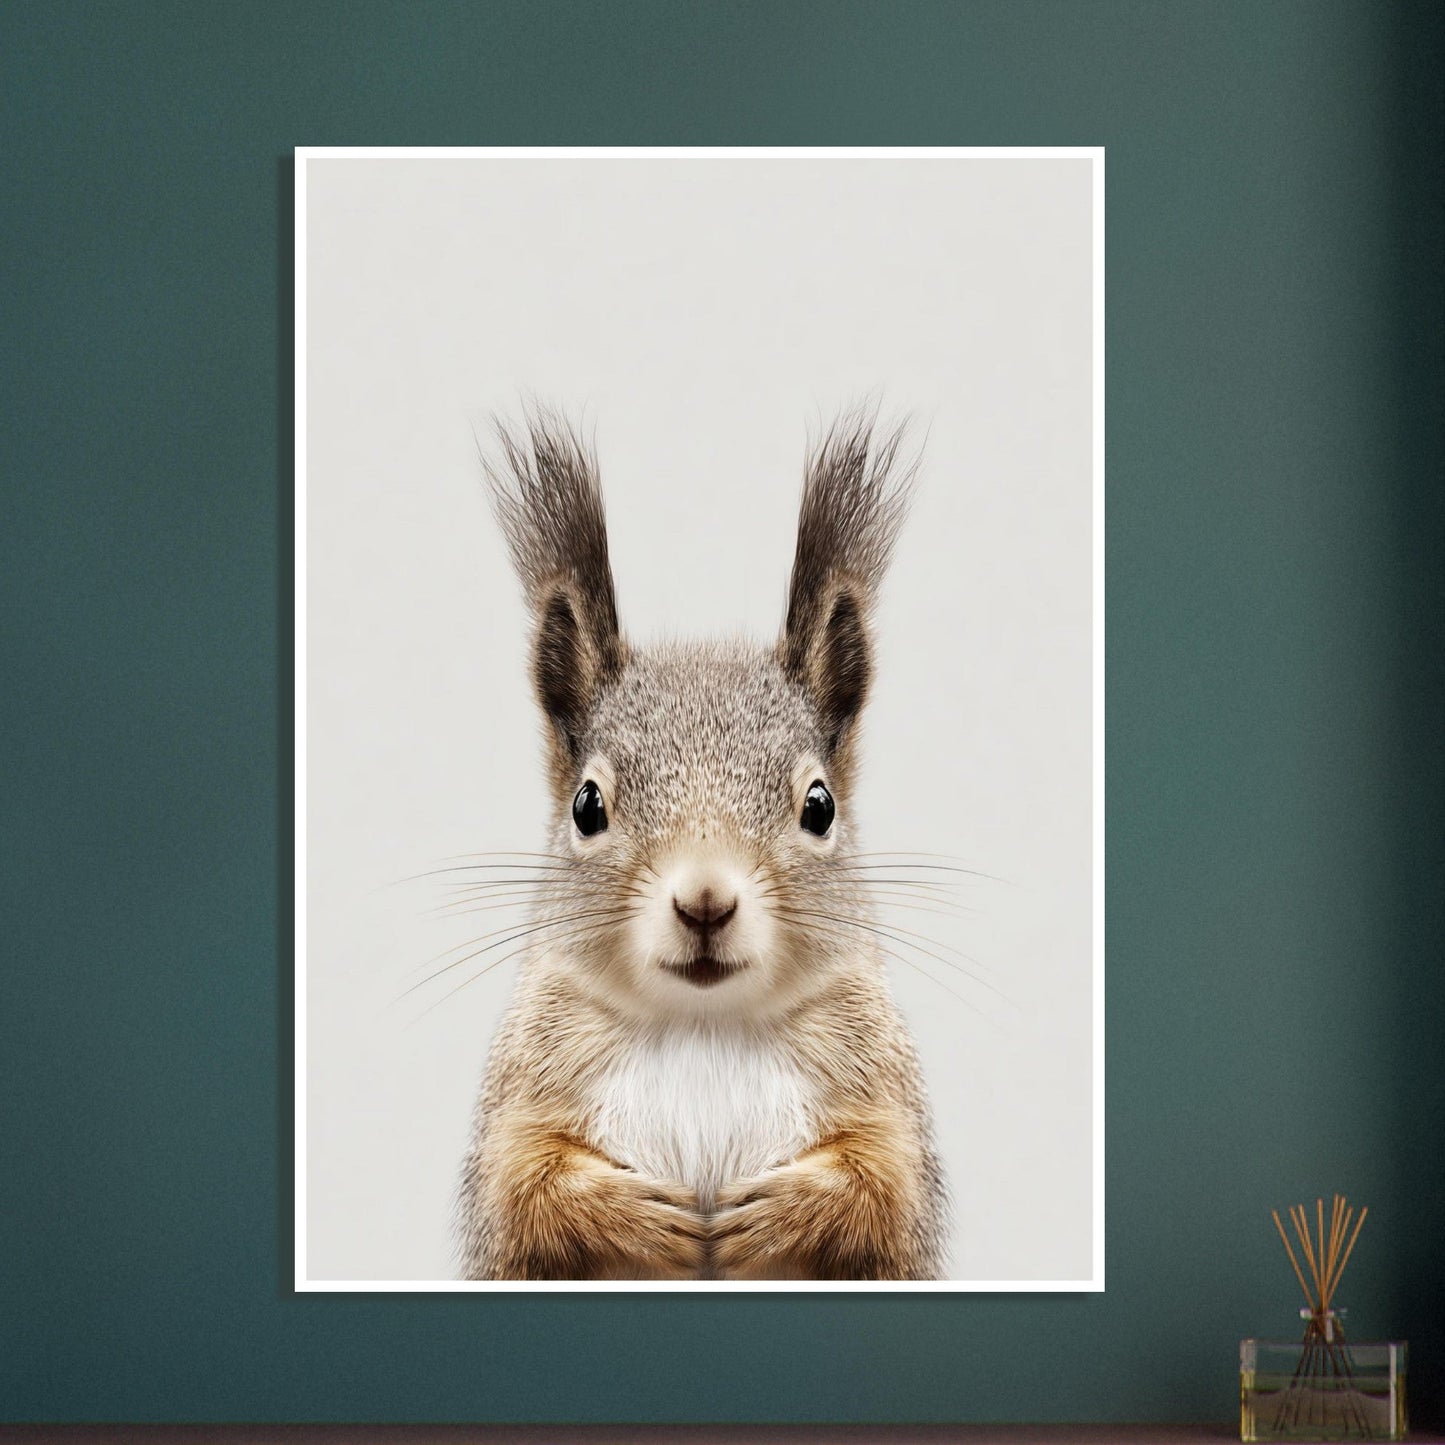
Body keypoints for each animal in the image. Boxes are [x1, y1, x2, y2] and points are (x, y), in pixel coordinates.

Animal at [454, 409, 948, 1280]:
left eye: (818, 806)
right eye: (587, 805)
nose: (705, 900)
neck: (702, 1025)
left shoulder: (883, 1098)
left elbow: (884, 1188)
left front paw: (784, 1207)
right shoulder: (522, 1098)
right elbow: (522, 1190)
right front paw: (633, 1211)